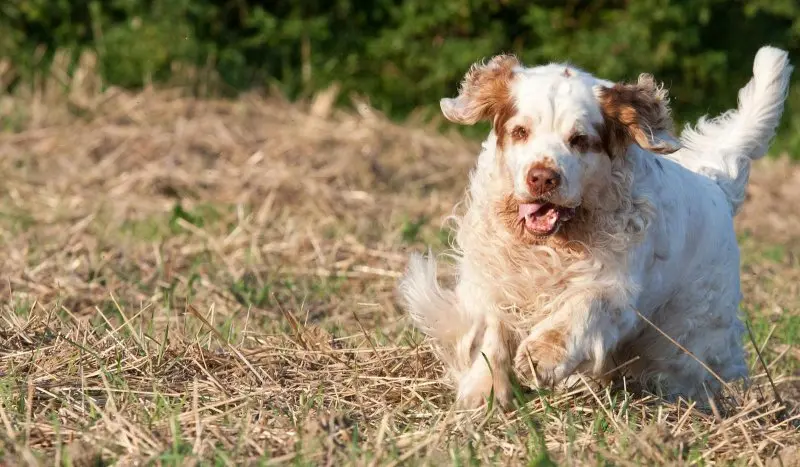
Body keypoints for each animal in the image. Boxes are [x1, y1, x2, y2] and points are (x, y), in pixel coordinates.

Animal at [400, 45, 792, 408]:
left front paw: (542, 357)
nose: (542, 177)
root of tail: (716, 185)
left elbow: (583, 307)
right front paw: (485, 395)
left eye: (580, 140)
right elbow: (490, 335)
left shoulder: (616, 287)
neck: (551, 244)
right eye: (520, 131)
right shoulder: (494, 279)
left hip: (690, 333)